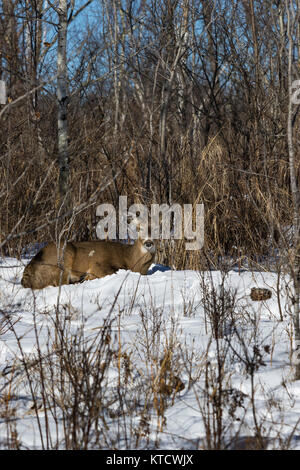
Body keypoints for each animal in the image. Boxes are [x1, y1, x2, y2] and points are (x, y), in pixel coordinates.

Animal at [21, 235, 156, 290]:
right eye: (140, 229)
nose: (149, 243)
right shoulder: (98, 264)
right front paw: (87, 277)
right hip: (64, 257)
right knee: (62, 283)